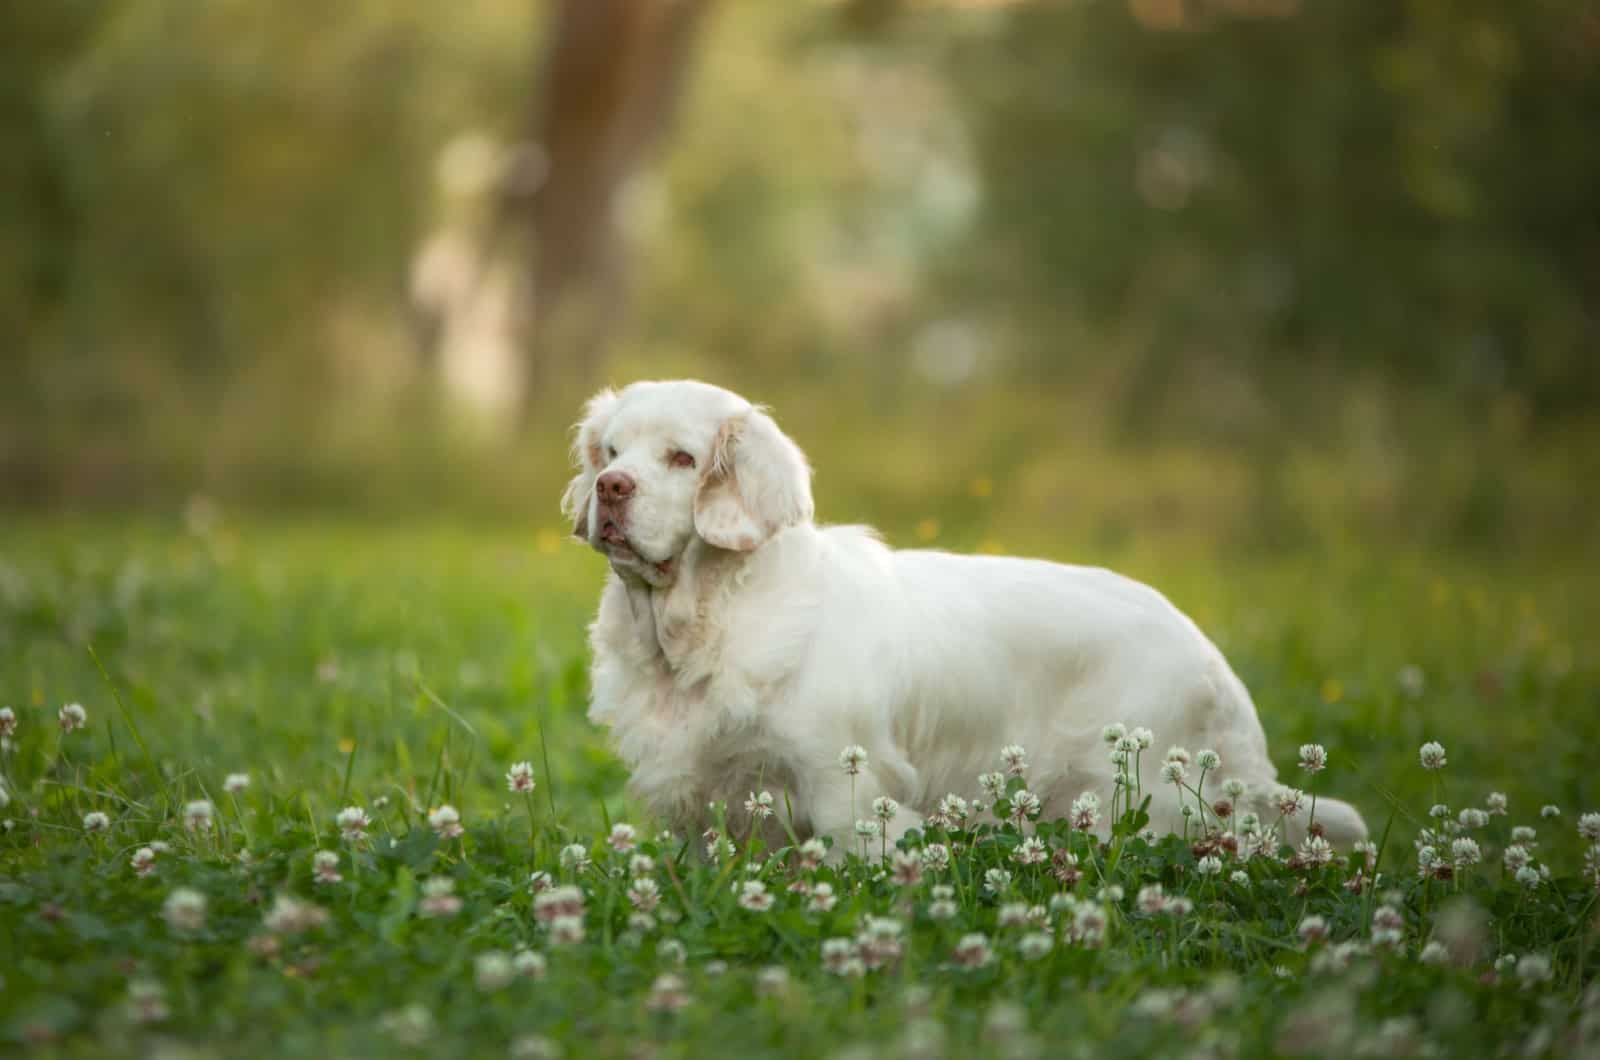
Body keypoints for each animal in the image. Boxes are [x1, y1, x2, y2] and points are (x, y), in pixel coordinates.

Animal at [563, 377, 1363, 858]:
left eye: (681, 457)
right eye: (611, 450)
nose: (610, 487)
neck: (701, 625)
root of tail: (1214, 661)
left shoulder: (844, 783)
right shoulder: (707, 802)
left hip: (1138, 794)